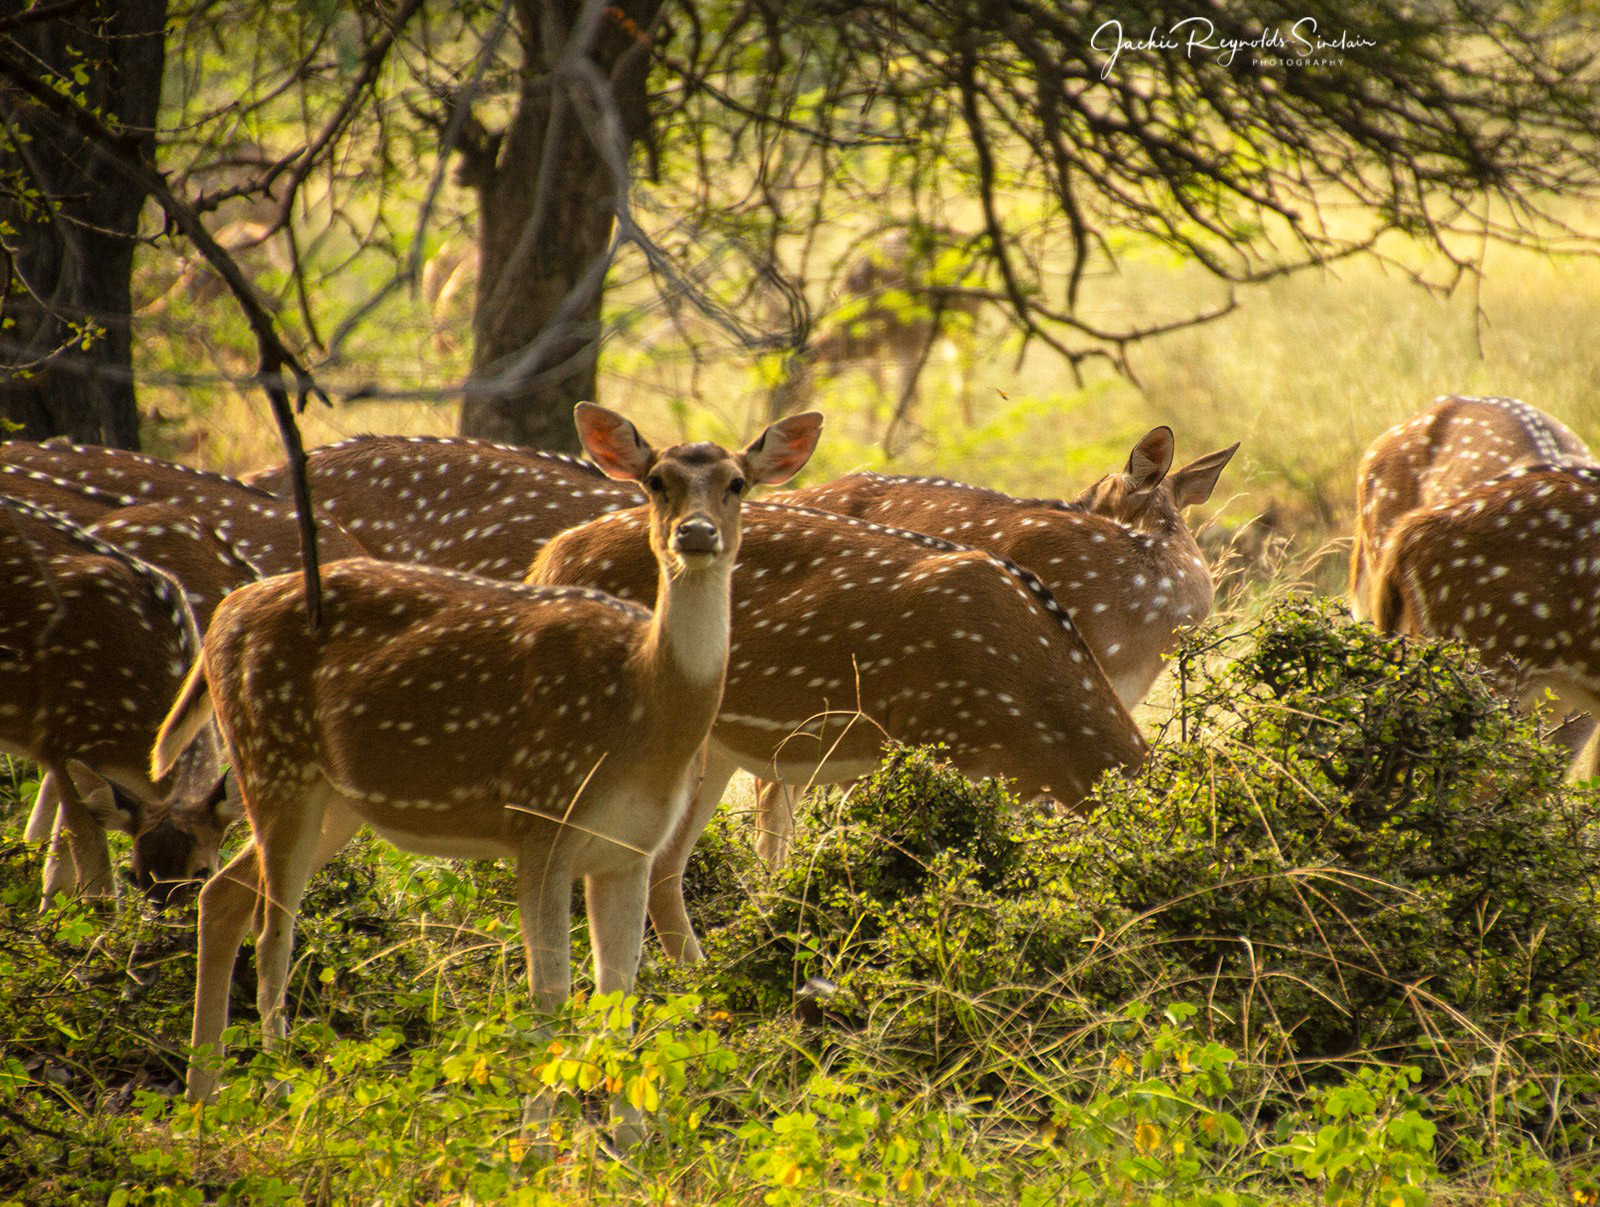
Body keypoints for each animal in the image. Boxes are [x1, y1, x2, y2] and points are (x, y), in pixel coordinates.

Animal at [151, 405, 823, 1115]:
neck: (644, 704)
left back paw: (202, 1095)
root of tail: (225, 613)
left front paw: (625, 1132)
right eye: (657, 481)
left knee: (223, 894)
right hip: (274, 758)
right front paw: (540, 1126)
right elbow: (551, 995)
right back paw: (277, 1084)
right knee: (273, 931)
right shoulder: (541, 823)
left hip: (333, 798)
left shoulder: (628, 850)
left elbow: (617, 999)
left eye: (736, 483)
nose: (694, 533)